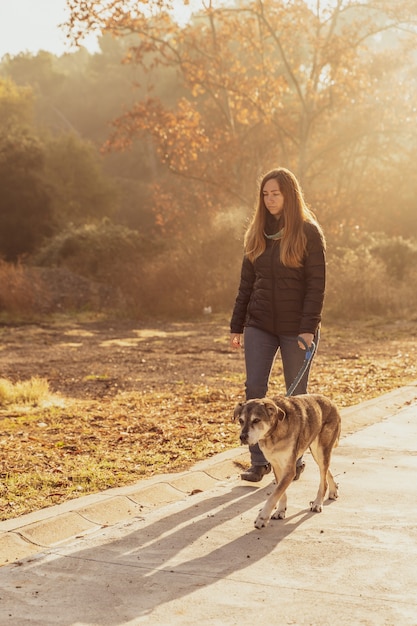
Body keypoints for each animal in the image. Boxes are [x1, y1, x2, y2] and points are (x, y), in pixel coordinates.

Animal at [232, 394, 340, 528]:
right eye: (241, 421)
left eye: (256, 420)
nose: (242, 437)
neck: (273, 433)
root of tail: (330, 401)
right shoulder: (277, 466)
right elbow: (281, 493)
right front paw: (280, 511)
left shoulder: (289, 470)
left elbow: (274, 495)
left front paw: (262, 517)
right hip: (316, 452)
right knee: (326, 471)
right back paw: (333, 490)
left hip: (320, 450)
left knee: (323, 479)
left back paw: (317, 503)